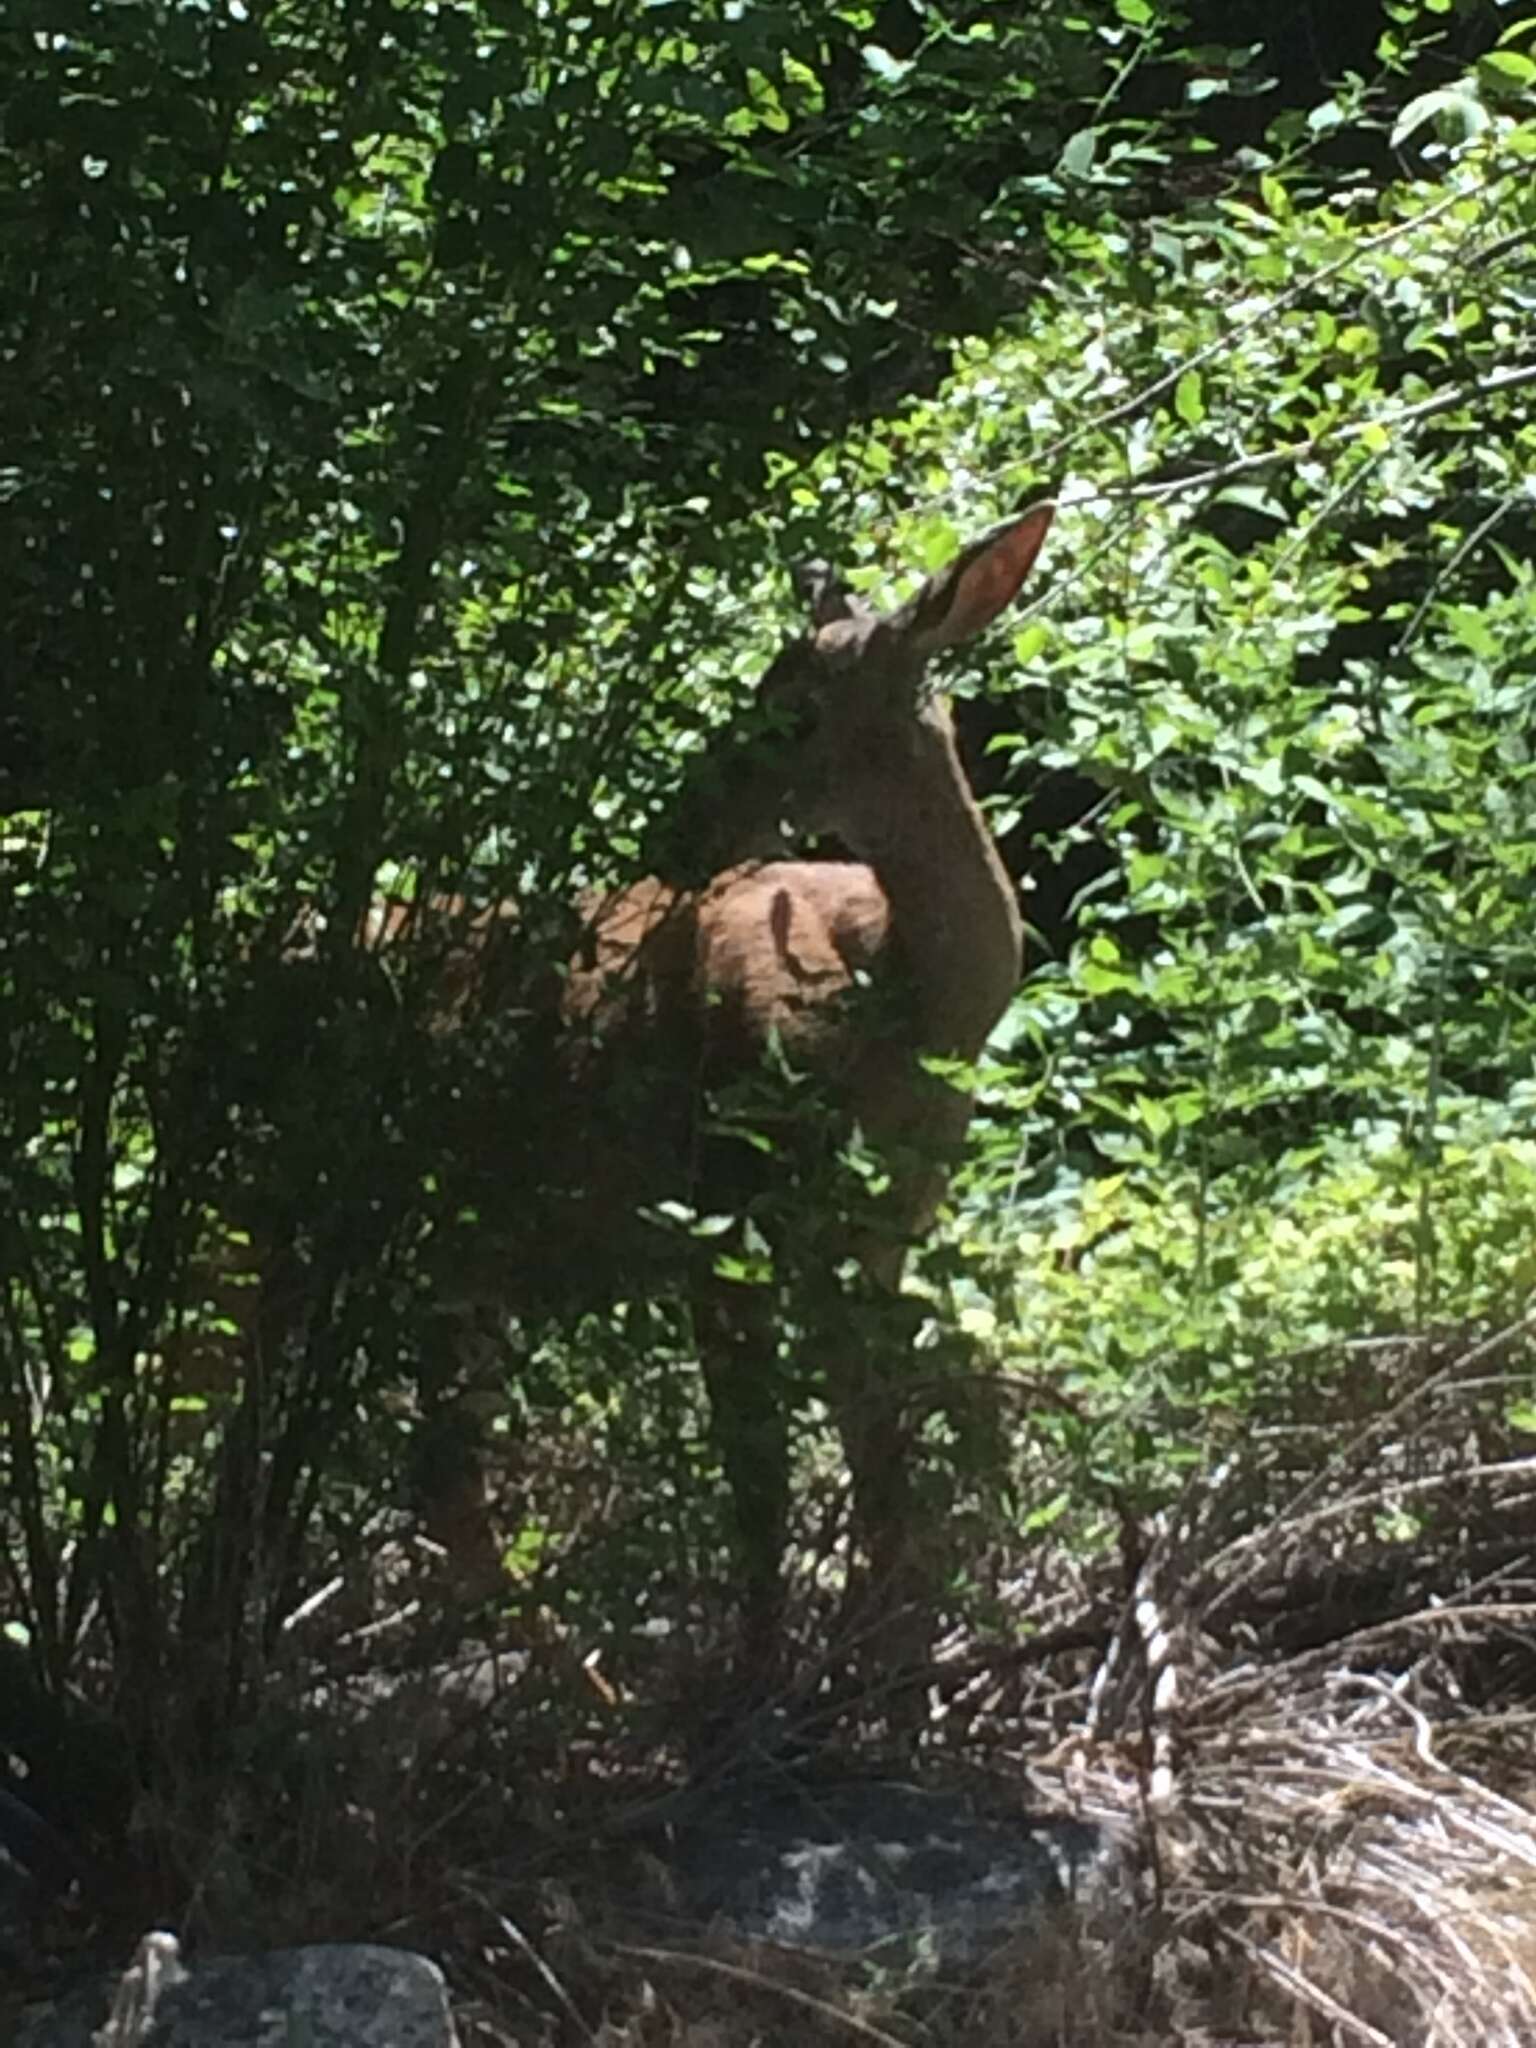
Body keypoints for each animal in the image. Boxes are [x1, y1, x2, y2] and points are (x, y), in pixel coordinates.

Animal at [183, 499, 1056, 1679]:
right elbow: (762, 1474)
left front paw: (891, 1650)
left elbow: (884, 1440)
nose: (675, 831)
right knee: (254, 1440)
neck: (905, 1000)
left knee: (425, 1473)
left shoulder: (872, 1234)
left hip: (444, 1244)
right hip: (295, 1207)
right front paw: (773, 1672)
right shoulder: (727, 1204)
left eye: (793, 715)